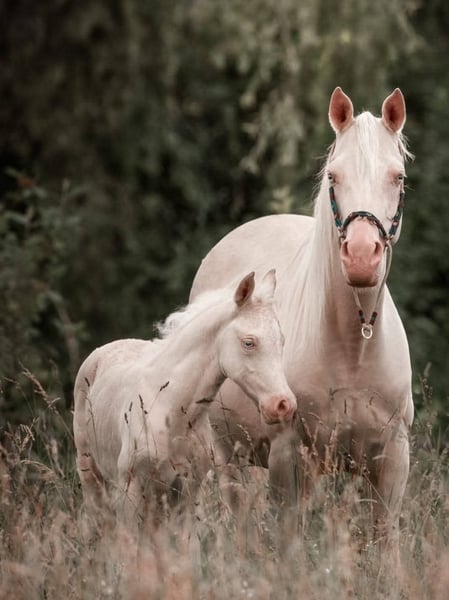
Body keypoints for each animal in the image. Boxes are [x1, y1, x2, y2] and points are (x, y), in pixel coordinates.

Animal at [73, 269, 296, 527]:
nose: (283, 405)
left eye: (282, 340)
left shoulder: (188, 491)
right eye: (249, 342)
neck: (171, 410)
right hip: (92, 476)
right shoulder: (130, 489)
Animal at [190, 88, 414, 551]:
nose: (361, 258)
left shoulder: (391, 460)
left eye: (398, 177)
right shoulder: (289, 457)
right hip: (231, 457)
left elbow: (383, 544)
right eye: (333, 177)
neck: (353, 347)